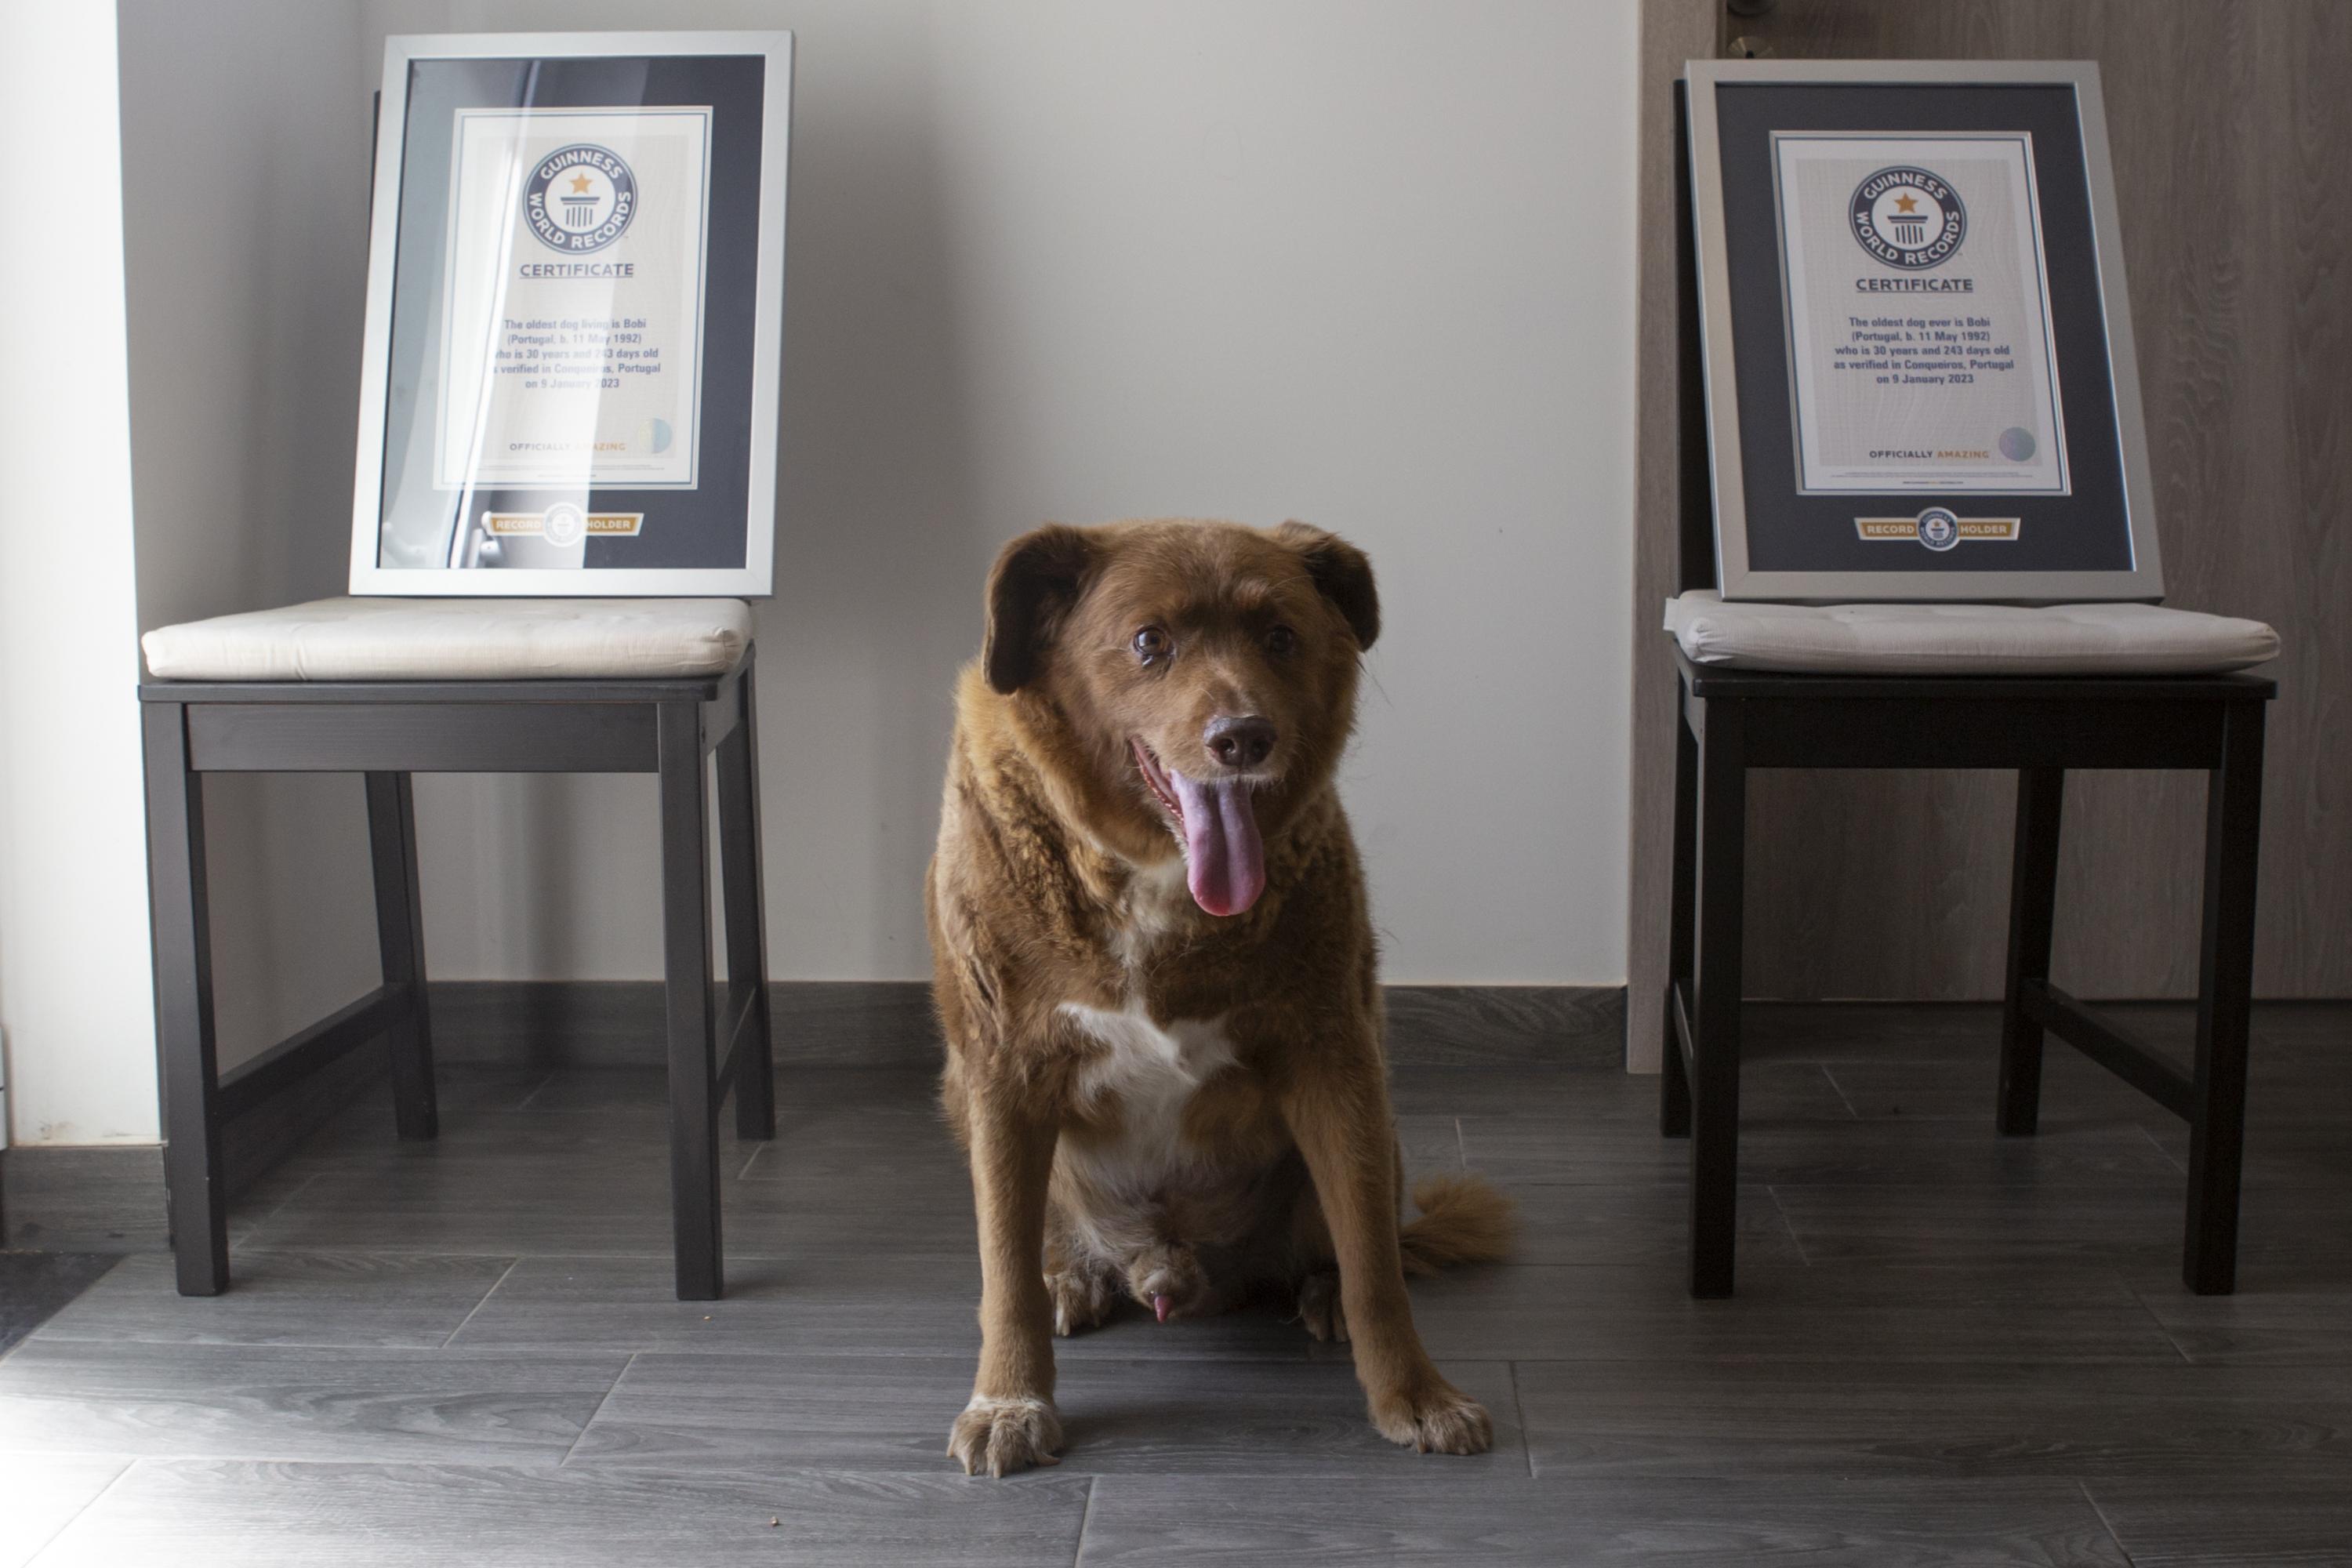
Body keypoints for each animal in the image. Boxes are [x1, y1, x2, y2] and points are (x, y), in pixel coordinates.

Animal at [917, 521, 1505, 1476]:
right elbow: (1002, 1271)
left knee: (1354, 1239)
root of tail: (1170, 1271)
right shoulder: (1002, 1072)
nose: (1245, 737)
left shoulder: (1334, 1059)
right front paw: (1010, 1401)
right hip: (961, 1103)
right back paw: (1069, 1275)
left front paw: (1415, 1395)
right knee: (1038, 1244)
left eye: (1280, 637)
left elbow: (1375, 1264)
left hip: (1377, 1121)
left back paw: (1321, 1291)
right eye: (1149, 642)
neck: (1151, 875)